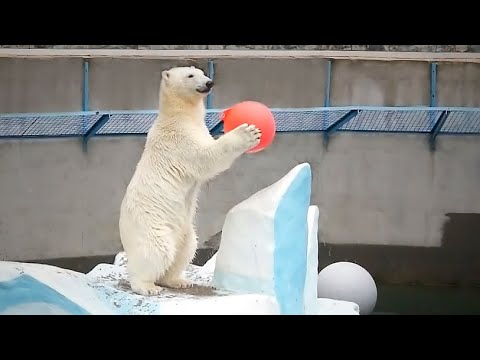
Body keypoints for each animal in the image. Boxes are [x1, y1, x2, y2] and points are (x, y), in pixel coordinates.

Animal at [120, 65, 262, 296]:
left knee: (185, 250)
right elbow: (208, 157)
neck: (178, 116)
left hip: (185, 231)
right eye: (190, 75)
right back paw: (147, 286)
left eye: (202, 72)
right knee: (157, 251)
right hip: (151, 225)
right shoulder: (179, 141)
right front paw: (248, 132)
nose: (209, 82)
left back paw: (177, 280)